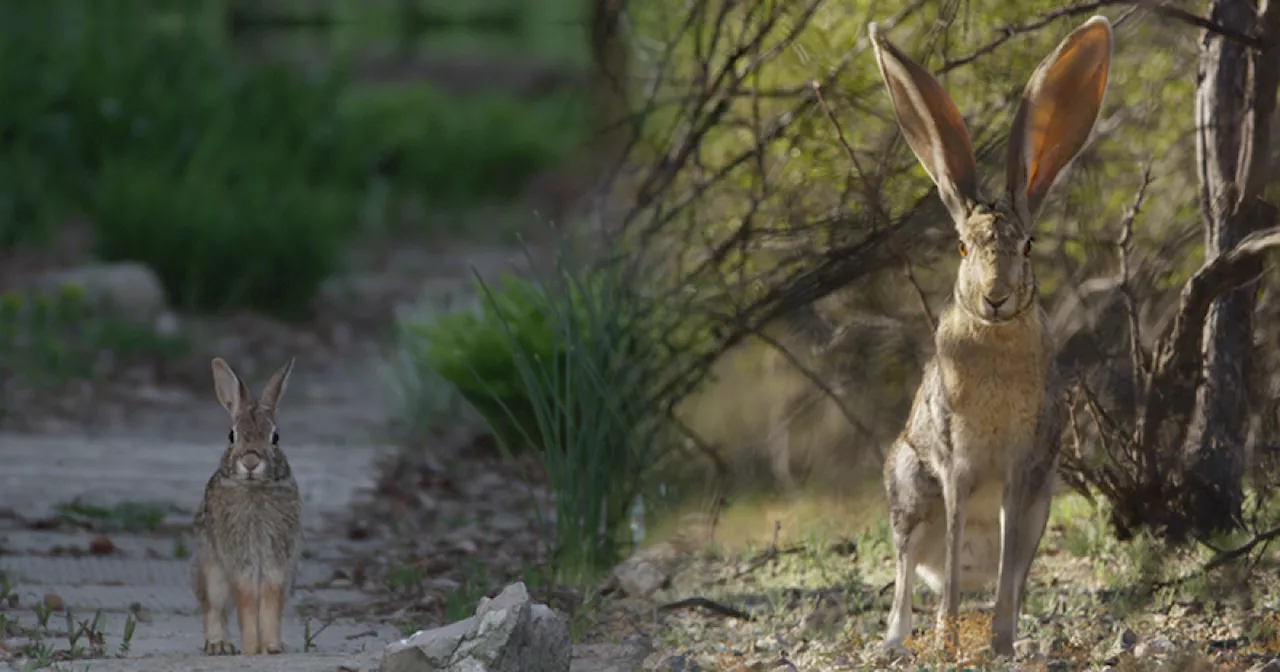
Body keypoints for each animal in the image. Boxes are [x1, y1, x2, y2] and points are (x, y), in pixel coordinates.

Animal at [190, 355, 300, 655]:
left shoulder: (276, 560)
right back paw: (220, 645)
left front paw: (271, 648)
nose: (251, 462)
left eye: (275, 437)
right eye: (232, 435)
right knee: (212, 608)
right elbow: (247, 601)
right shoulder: (240, 559)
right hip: (212, 573)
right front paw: (252, 648)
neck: (254, 489)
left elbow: (270, 599)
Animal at [870, 15, 1111, 655]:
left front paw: (1000, 643)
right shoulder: (957, 464)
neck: (996, 337)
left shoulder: (1021, 469)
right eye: (960, 248)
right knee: (910, 574)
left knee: (1007, 564)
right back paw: (900, 641)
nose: (996, 297)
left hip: (1040, 506)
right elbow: (952, 552)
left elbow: (1009, 572)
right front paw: (949, 640)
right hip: (909, 490)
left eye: (1027, 246)